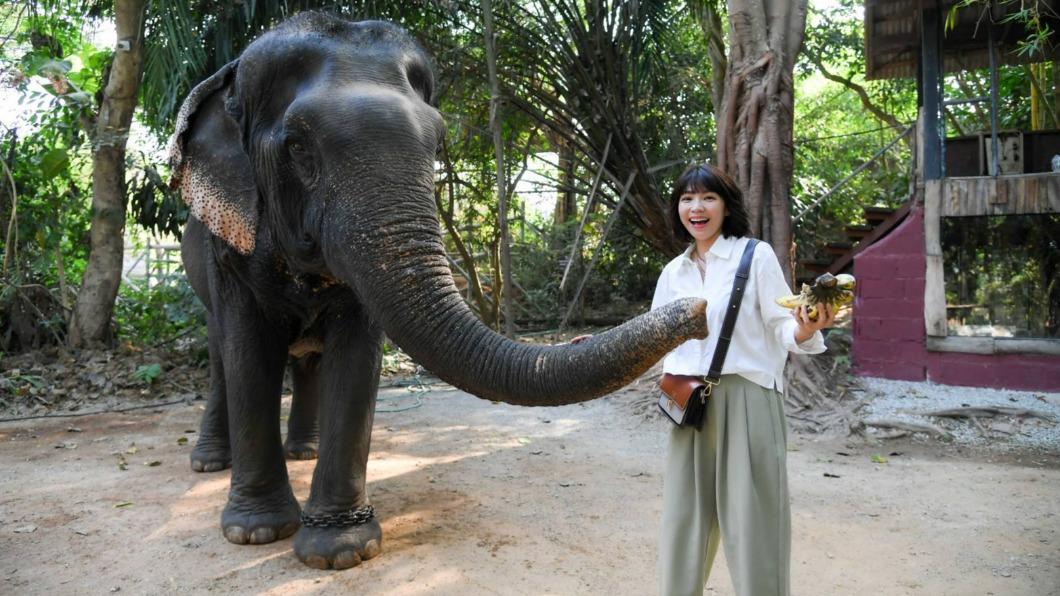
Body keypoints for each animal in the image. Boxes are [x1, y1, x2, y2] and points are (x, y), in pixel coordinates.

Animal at [169, 12, 708, 570]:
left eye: (437, 140)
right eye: (297, 146)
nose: (702, 310)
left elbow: (356, 357)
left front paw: (340, 552)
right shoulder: (226, 249)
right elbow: (249, 353)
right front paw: (255, 534)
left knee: (307, 360)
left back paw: (305, 452)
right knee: (221, 356)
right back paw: (210, 462)